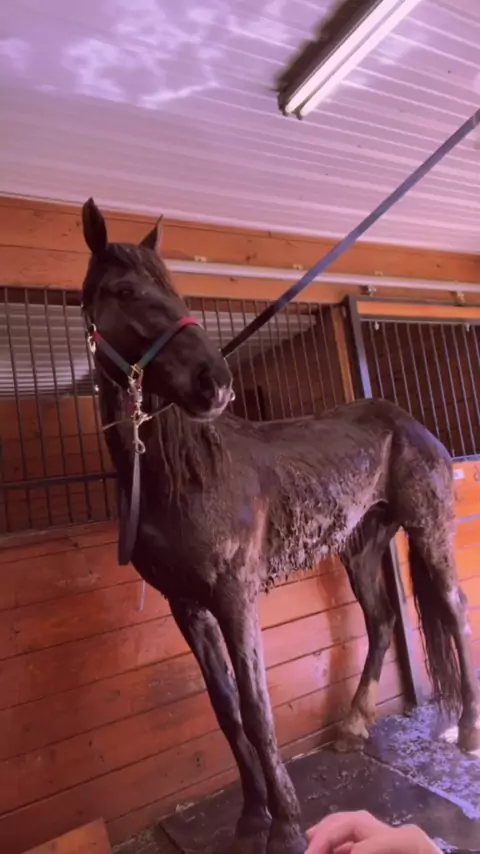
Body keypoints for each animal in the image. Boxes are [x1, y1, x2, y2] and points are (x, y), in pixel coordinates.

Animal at [80, 198, 480, 854]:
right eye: (124, 290)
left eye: (172, 289)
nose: (215, 383)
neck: (187, 475)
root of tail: (411, 424)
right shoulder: (186, 606)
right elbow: (225, 709)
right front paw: (251, 817)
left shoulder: (234, 596)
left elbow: (257, 707)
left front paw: (287, 827)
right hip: (360, 547)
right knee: (383, 620)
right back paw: (353, 725)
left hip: (429, 531)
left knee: (452, 607)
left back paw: (466, 730)